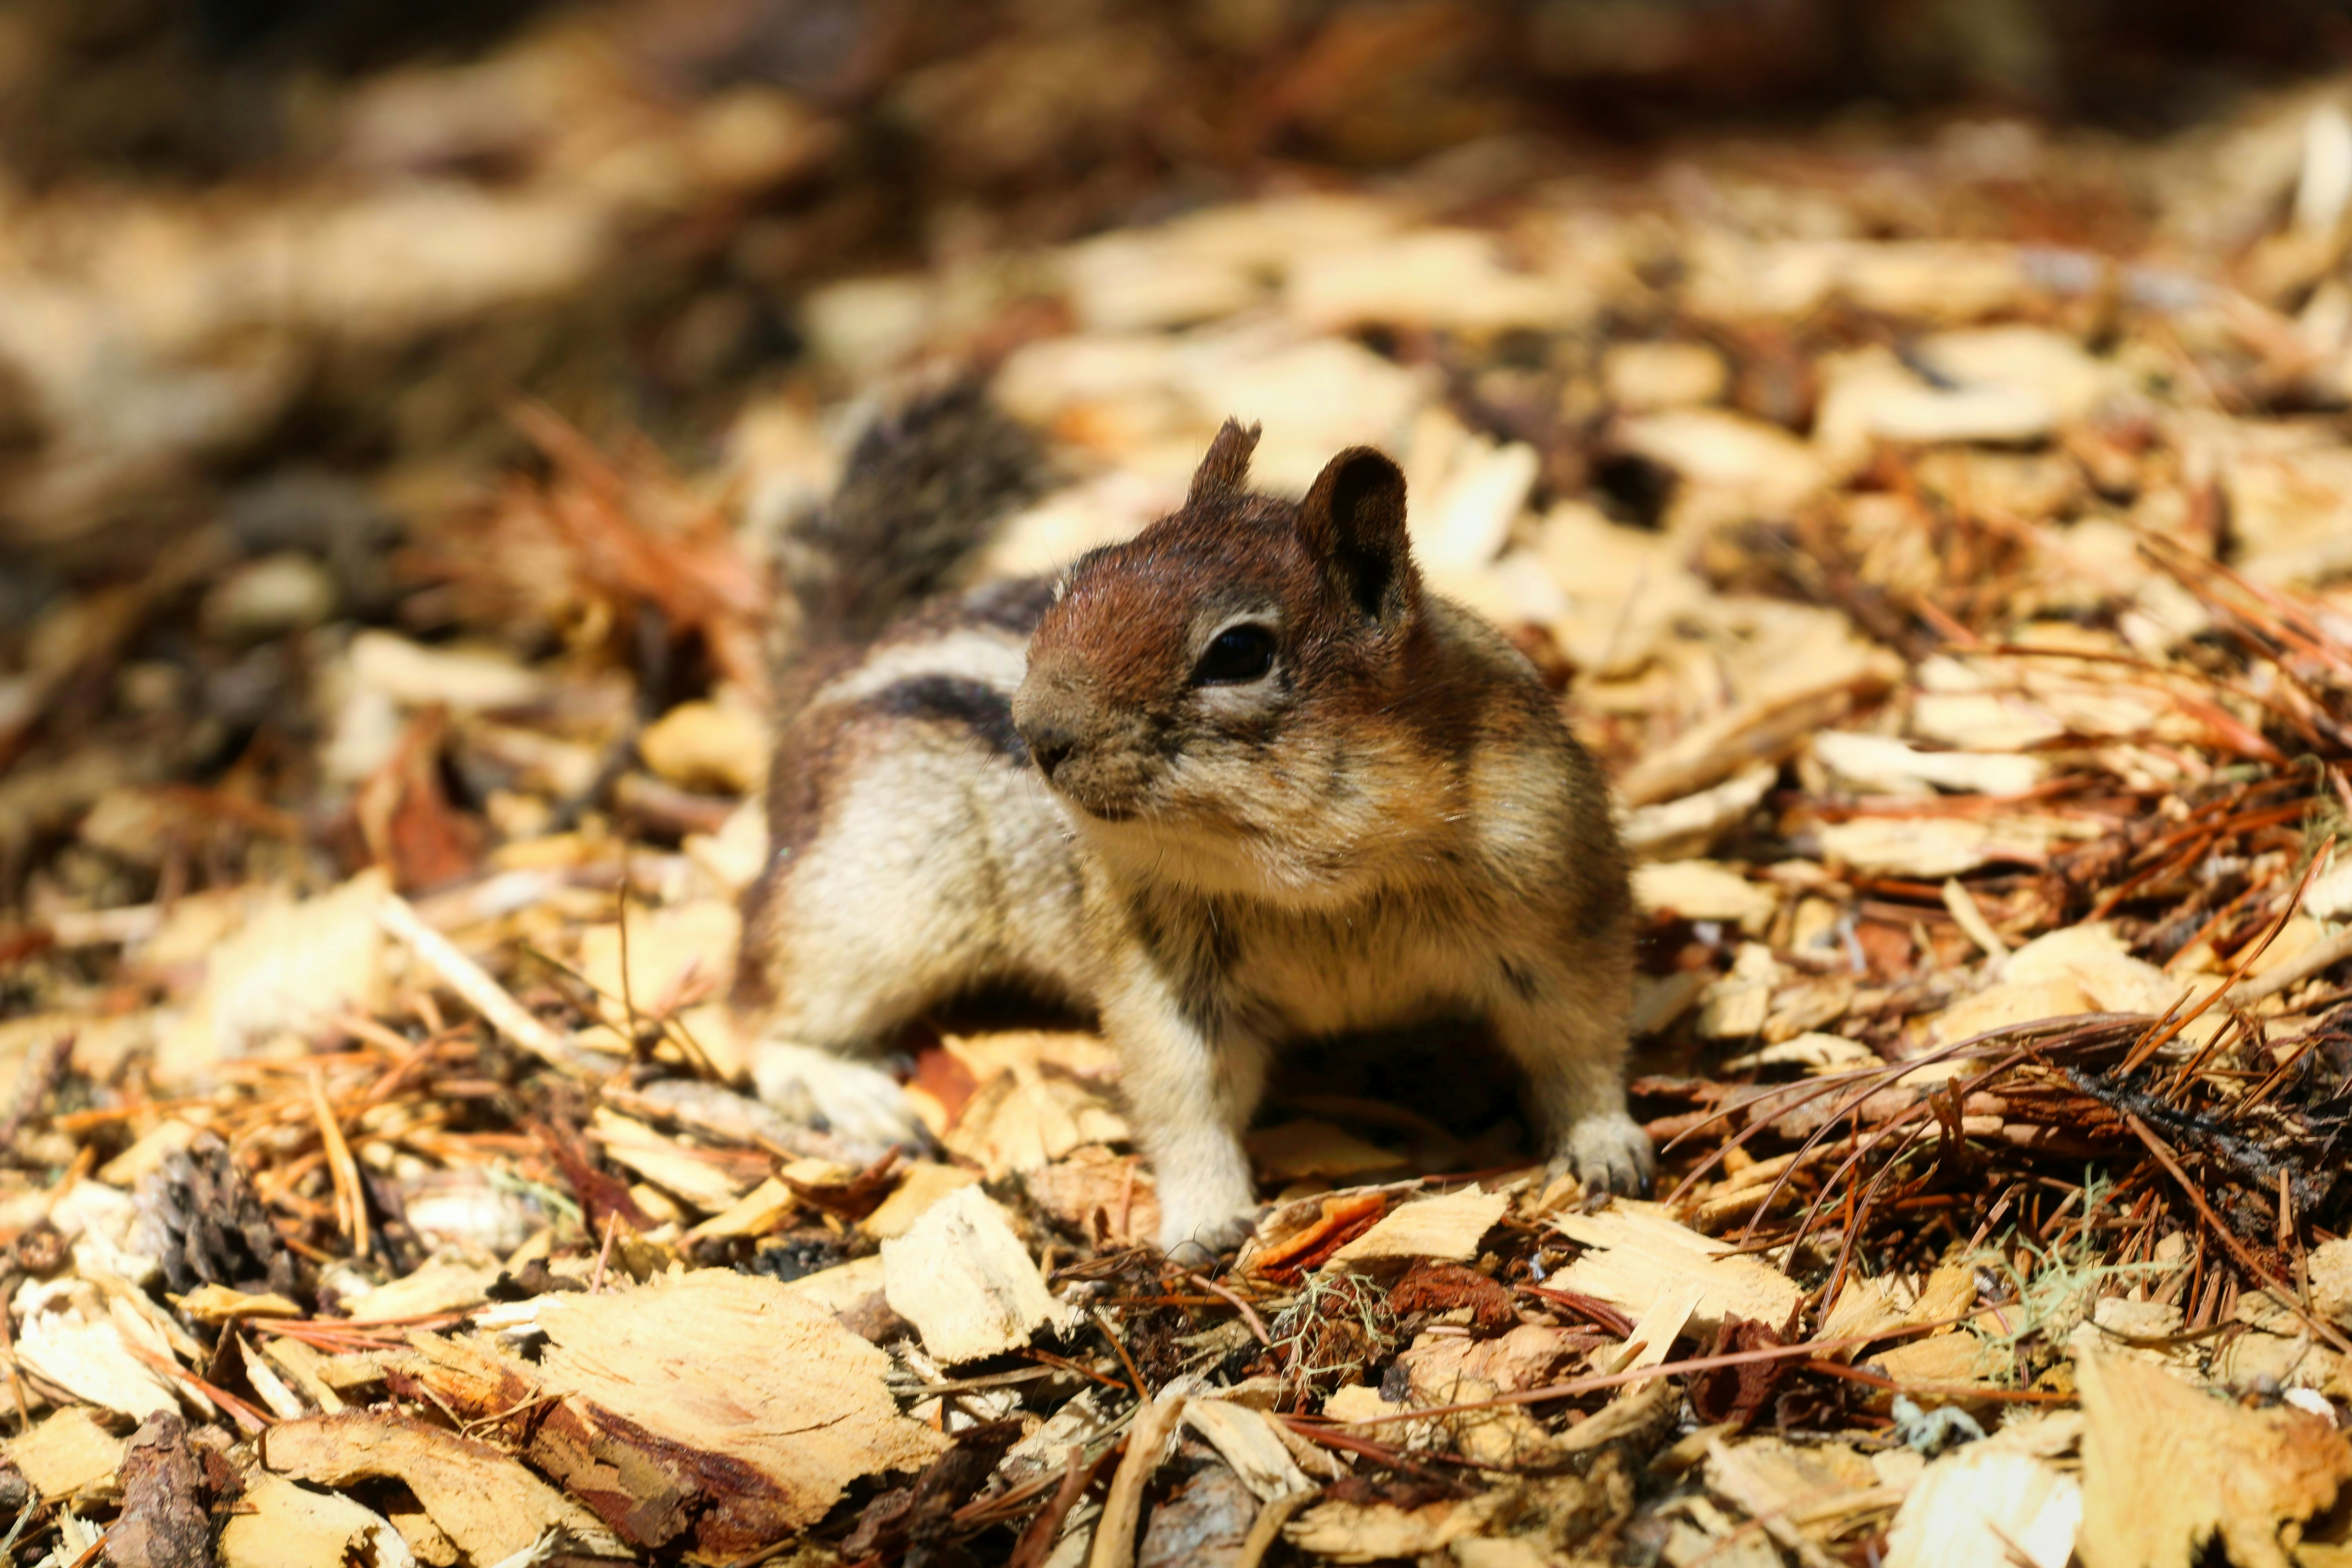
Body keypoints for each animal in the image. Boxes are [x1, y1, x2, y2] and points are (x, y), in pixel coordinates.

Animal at [735, 388, 1652, 1258]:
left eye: (1239, 652)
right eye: (1081, 575)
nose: (1034, 729)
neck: (1323, 877)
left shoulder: (1555, 899)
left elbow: (1579, 1040)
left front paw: (1605, 1143)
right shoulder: (1165, 976)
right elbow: (1185, 1099)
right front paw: (1205, 1218)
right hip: (867, 910)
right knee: (763, 1019)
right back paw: (842, 1088)